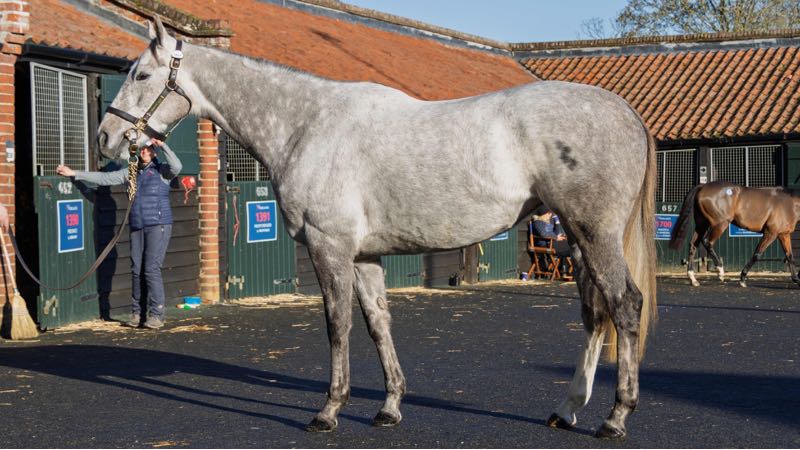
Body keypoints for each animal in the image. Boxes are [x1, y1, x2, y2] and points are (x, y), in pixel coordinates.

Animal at [96, 18, 657, 440]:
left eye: (141, 74)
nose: (105, 137)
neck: (306, 125)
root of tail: (626, 111)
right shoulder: (364, 255)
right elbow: (377, 324)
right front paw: (388, 407)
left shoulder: (330, 247)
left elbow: (337, 326)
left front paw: (328, 411)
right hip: (577, 238)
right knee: (595, 313)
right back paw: (567, 408)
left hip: (593, 232)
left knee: (624, 305)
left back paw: (614, 418)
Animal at [669, 180, 800, 288]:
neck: (789, 204)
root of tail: (703, 186)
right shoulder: (770, 233)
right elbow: (757, 254)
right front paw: (742, 278)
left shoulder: (783, 234)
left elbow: (790, 256)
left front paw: (796, 279)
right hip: (720, 224)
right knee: (707, 242)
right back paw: (720, 271)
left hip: (702, 224)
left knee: (693, 245)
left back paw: (693, 279)